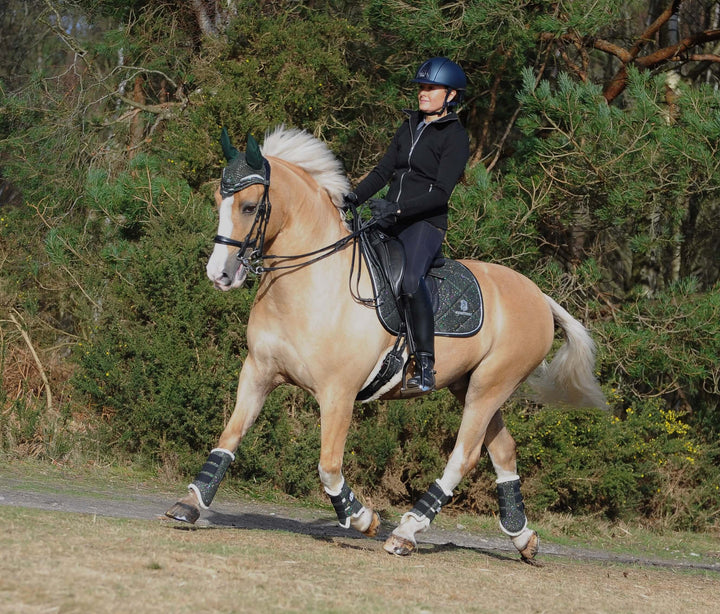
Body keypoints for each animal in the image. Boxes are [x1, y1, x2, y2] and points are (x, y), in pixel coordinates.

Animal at [166, 125, 604, 564]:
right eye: (219, 200)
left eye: (251, 206)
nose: (220, 274)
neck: (309, 284)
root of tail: (539, 296)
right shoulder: (258, 372)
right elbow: (229, 437)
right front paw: (191, 503)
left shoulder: (338, 394)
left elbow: (328, 465)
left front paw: (362, 519)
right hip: (471, 386)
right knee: (504, 450)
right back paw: (522, 537)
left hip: (490, 386)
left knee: (463, 457)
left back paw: (406, 532)